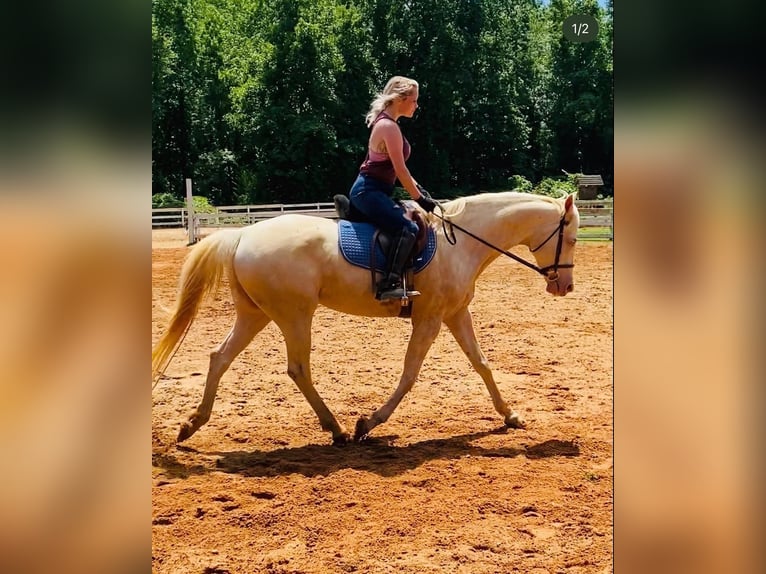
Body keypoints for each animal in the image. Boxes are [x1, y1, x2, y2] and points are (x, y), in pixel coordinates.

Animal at [152, 191, 579, 444]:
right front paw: (368, 422)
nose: (565, 287)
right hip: (294, 315)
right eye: (573, 238)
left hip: (255, 315)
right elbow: (409, 374)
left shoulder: (456, 313)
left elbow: (482, 363)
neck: (462, 243)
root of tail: (241, 236)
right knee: (298, 368)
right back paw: (338, 428)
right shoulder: (429, 319)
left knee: (219, 357)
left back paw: (192, 423)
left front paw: (510, 415)